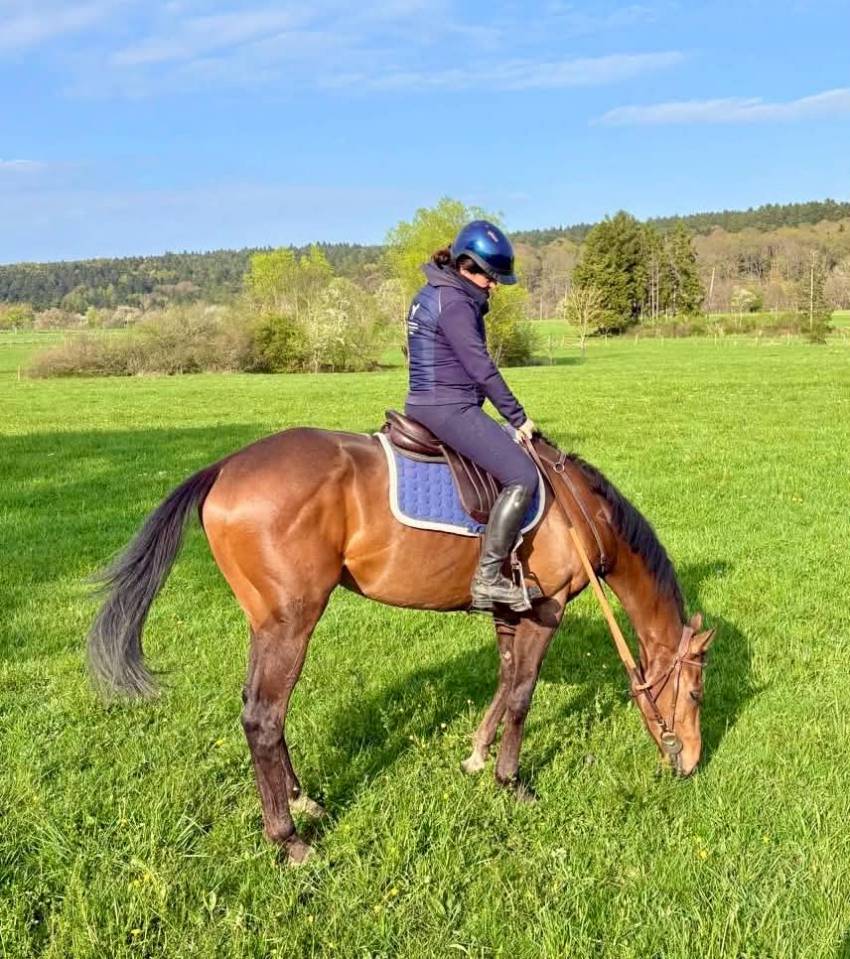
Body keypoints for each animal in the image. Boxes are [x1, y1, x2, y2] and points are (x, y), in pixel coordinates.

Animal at [88, 427, 715, 864]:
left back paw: (300, 798)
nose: (691, 763)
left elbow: (504, 679)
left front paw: (477, 754)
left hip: (265, 622)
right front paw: (511, 782)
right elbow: (522, 695)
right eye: (696, 694)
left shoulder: (511, 611)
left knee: (260, 709)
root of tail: (224, 467)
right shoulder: (547, 609)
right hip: (291, 621)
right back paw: (289, 839)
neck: (580, 511)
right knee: (263, 716)